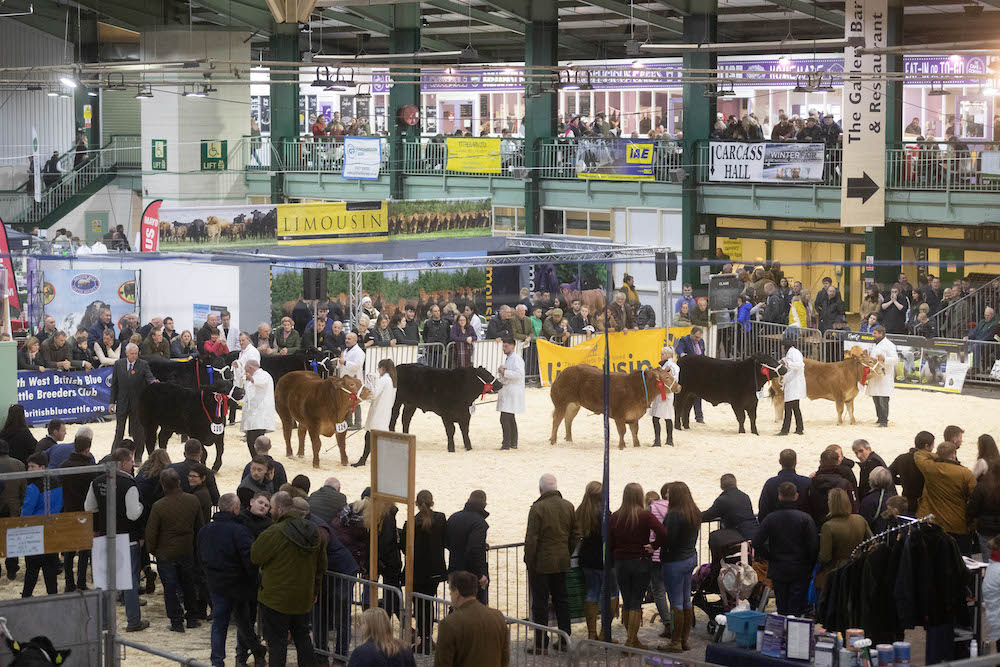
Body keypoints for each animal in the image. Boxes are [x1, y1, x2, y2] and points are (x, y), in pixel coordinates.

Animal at [548, 362, 680, 452]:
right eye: (667, 377)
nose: (680, 387)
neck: (637, 389)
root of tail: (561, 374)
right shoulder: (619, 415)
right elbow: (622, 431)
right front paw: (622, 446)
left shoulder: (634, 416)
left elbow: (634, 431)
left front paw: (637, 445)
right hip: (560, 403)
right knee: (556, 421)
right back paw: (553, 441)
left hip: (573, 405)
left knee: (568, 420)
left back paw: (569, 439)